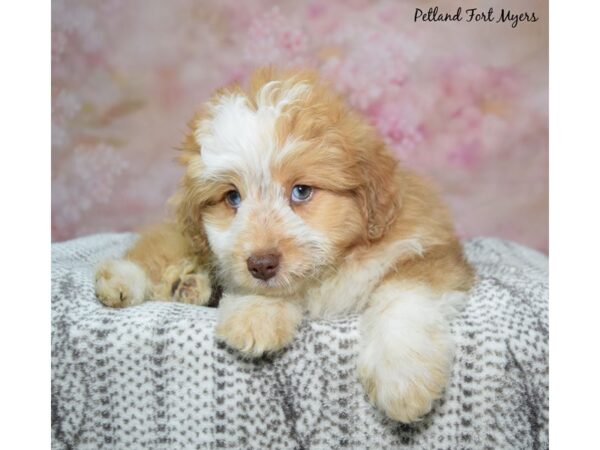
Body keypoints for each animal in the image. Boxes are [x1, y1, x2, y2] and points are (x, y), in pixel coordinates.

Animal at [96, 67, 476, 422]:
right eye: (232, 197)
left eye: (301, 191)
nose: (261, 264)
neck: (335, 266)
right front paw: (255, 313)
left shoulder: (430, 251)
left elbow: (403, 297)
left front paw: (402, 378)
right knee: (158, 247)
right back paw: (125, 281)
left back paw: (186, 285)